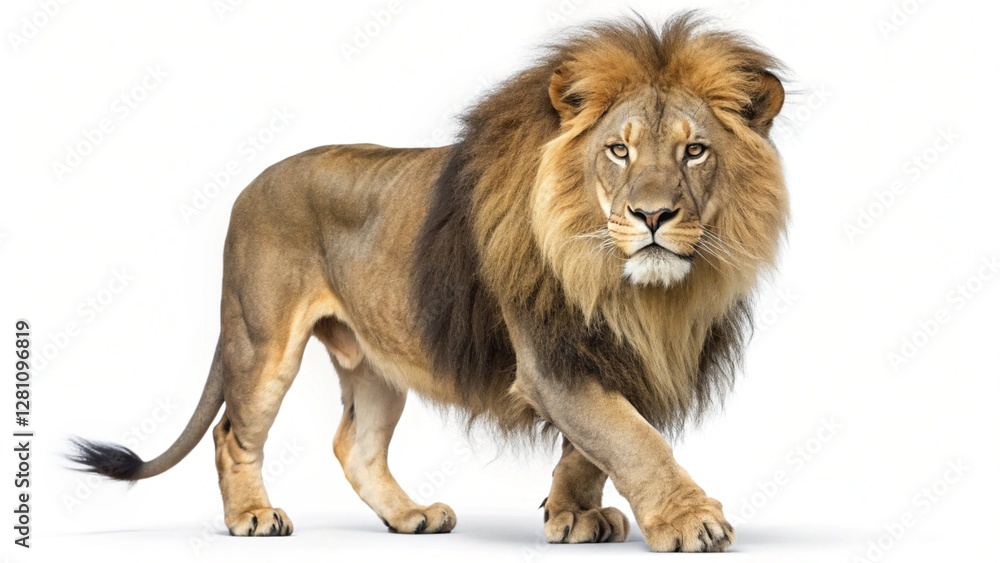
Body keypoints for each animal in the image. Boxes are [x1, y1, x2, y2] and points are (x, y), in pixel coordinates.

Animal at [70, 14, 788, 552]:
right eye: (620, 150)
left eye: (694, 150)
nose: (652, 216)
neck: (631, 288)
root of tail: (252, 184)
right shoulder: (549, 358)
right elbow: (630, 437)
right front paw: (689, 520)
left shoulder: (610, 354)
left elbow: (593, 443)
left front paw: (572, 514)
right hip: (261, 338)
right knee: (232, 433)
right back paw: (252, 516)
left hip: (374, 357)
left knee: (353, 445)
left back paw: (409, 515)